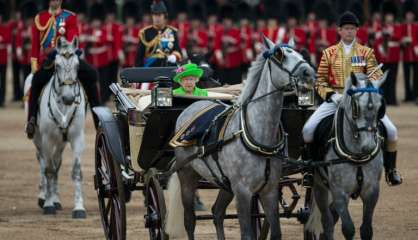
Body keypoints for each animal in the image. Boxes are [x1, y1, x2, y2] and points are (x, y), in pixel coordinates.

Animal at [30, 37, 87, 218]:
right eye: (56, 66)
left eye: (77, 66)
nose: (69, 98)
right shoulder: (47, 139)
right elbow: (48, 169)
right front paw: (48, 205)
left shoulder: (76, 138)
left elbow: (76, 171)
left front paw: (79, 208)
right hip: (38, 140)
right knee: (43, 163)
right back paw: (44, 197)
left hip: (61, 142)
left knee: (57, 163)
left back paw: (56, 198)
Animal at [165, 36, 316, 239]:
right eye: (279, 55)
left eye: (300, 53)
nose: (309, 73)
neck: (258, 134)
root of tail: (191, 107)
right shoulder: (243, 192)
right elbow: (247, 234)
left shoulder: (269, 191)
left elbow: (276, 232)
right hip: (187, 175)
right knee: (189, 220)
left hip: (224, 184)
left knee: (217, 212)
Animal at [306, 72, 386, 240]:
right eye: (356, 107)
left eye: (380, 108)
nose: (369, 146)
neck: (357, 154)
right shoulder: (339, 193)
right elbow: (348, 229)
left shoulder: (372, 191)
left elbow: (366, 230)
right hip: (320, 188)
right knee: (327, 222)